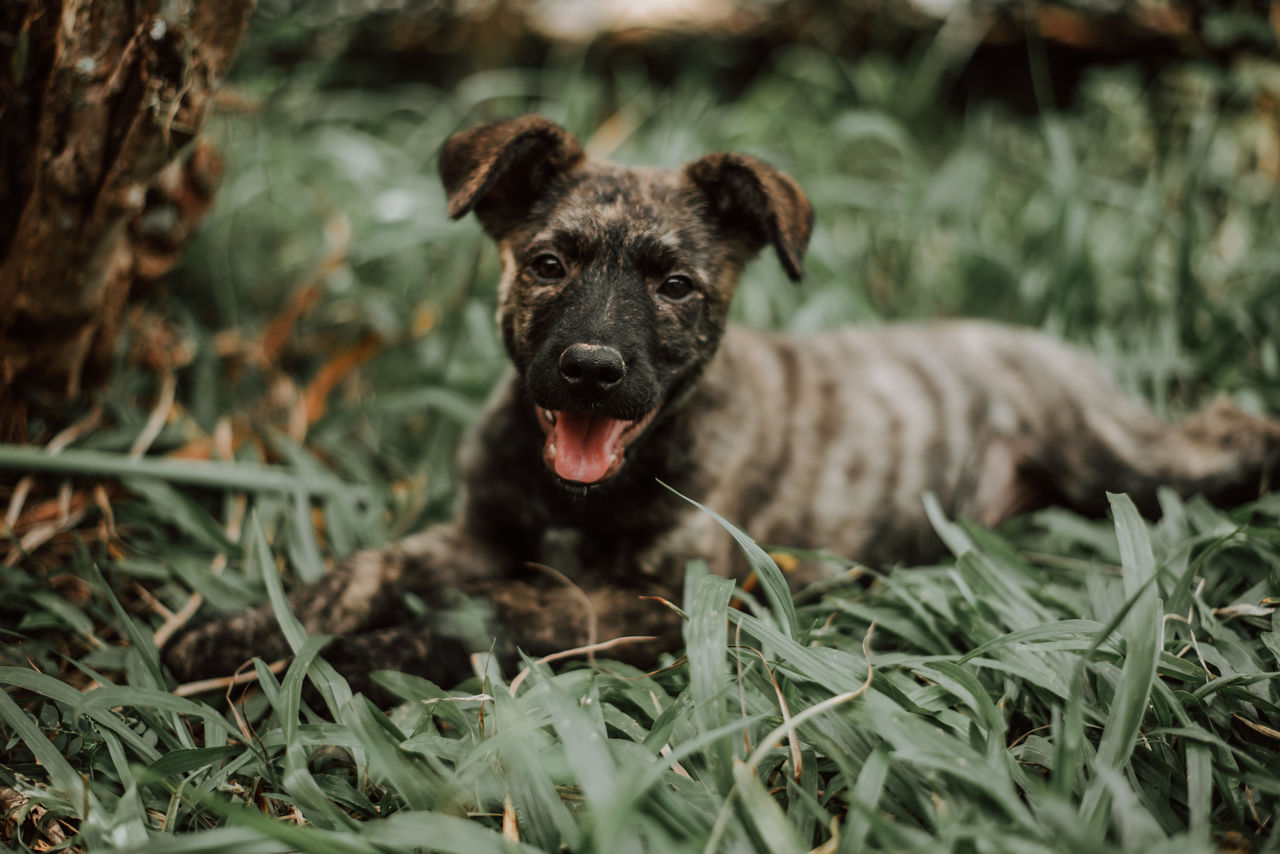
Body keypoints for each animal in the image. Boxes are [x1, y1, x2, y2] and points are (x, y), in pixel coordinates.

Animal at [165, 115, 1280, 701]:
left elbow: (490, 614)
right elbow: (366, 567)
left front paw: (352, 658)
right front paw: (239, 633)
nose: (590, 368)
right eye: (548, 263)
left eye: (675, 286)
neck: (581, 492)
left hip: (1116, 456)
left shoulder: (650, 605)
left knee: (1214, 440)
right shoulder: (480, 531)